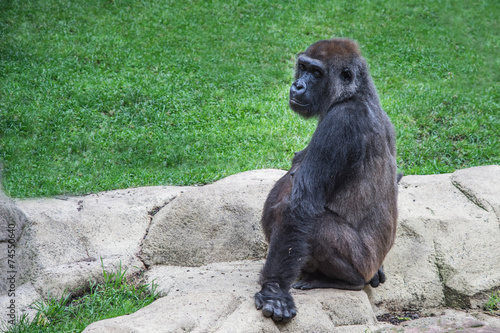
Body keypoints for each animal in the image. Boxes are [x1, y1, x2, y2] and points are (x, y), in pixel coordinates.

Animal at [254, 38, 398, 322]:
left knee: (316, 225)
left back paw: (347, 281)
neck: (355, 94)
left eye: (317, 73)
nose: (298, 85)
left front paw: (274, 292)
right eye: (303, 67)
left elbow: (300, 206)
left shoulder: (341, 123)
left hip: (363, 262)